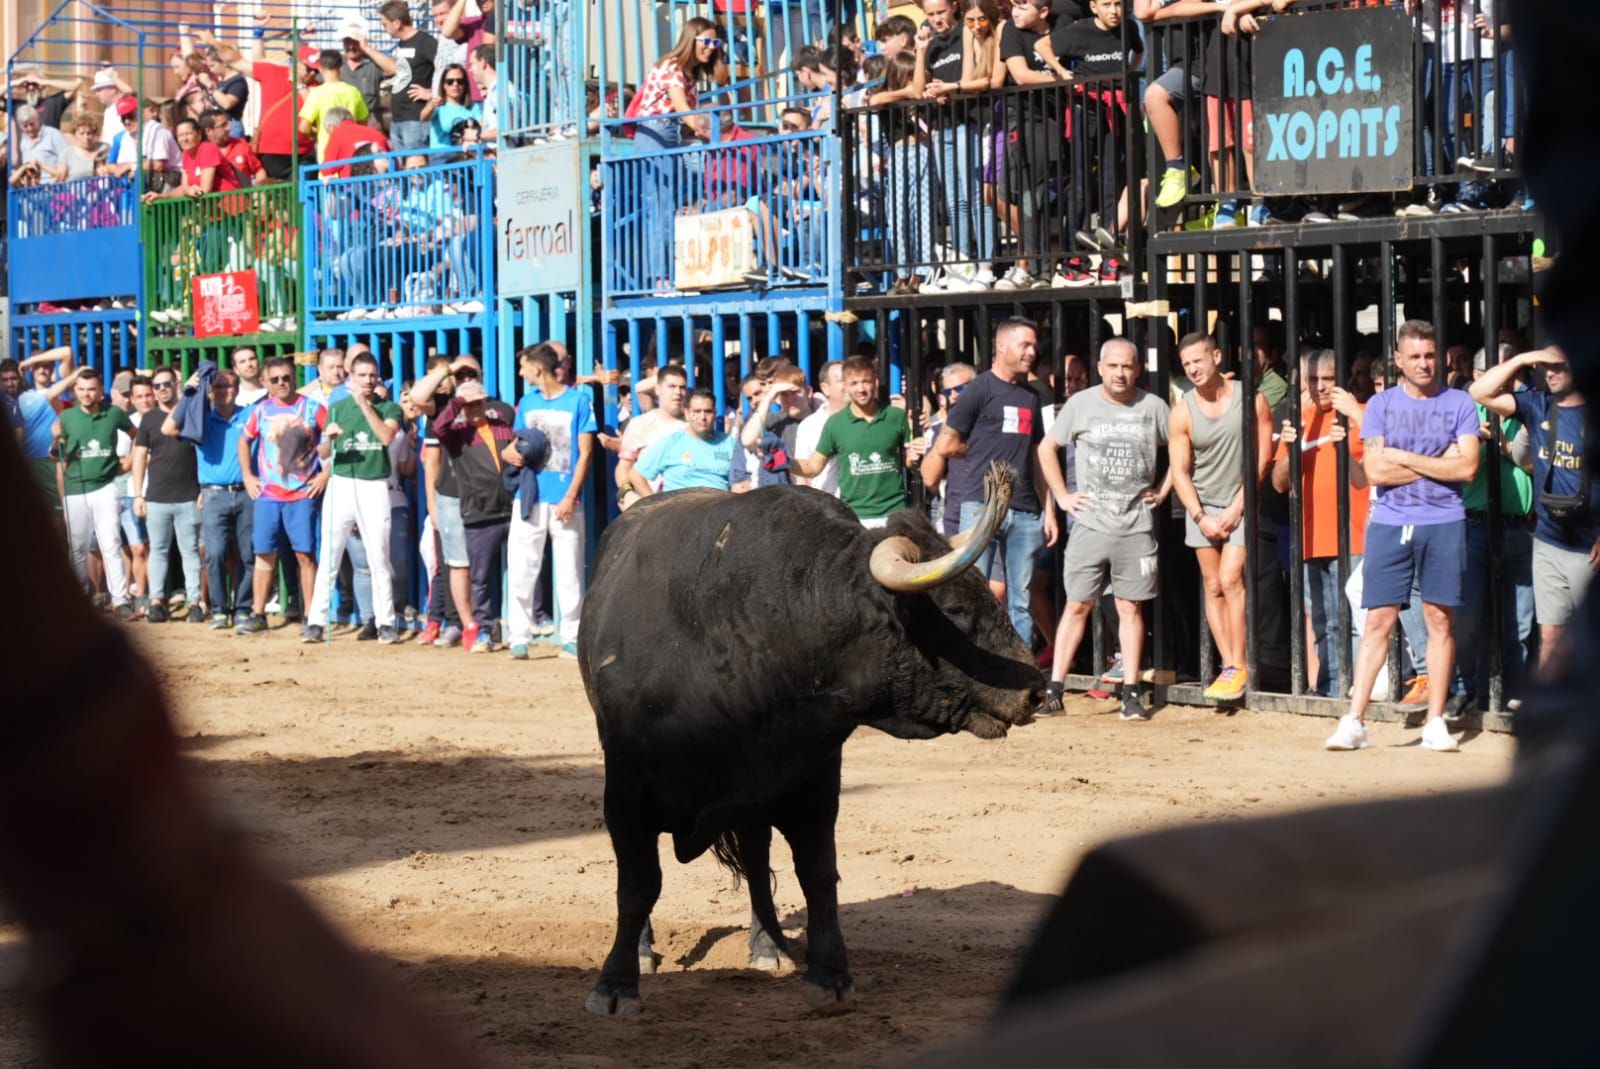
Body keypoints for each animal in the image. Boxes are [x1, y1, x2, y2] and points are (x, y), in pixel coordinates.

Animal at [582, 464, 1043, 1011]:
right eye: (953, 608)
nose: (1039, 690)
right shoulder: (625, 792)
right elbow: (637, 886)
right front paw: (617, 981)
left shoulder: (810, 777)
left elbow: (818, 874)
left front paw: (831, 974)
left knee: (757, 857)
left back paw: (769, 944)